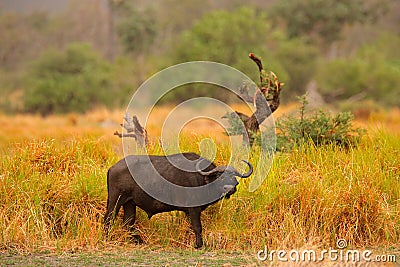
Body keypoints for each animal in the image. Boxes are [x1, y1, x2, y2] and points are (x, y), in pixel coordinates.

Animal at [104, 153, 252, 249]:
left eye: (233, 177)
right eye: (219, 176)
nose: (229, 188)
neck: (202, 180)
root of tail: (112, 168)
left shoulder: (188, 212)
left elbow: (189, 227)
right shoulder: (193, 209)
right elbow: (197, 227)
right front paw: (199, 245)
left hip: (130, 203)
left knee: (128, 222)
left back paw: (139, 241)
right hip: (115, 200)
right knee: (109, 218)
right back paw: (107, 239)